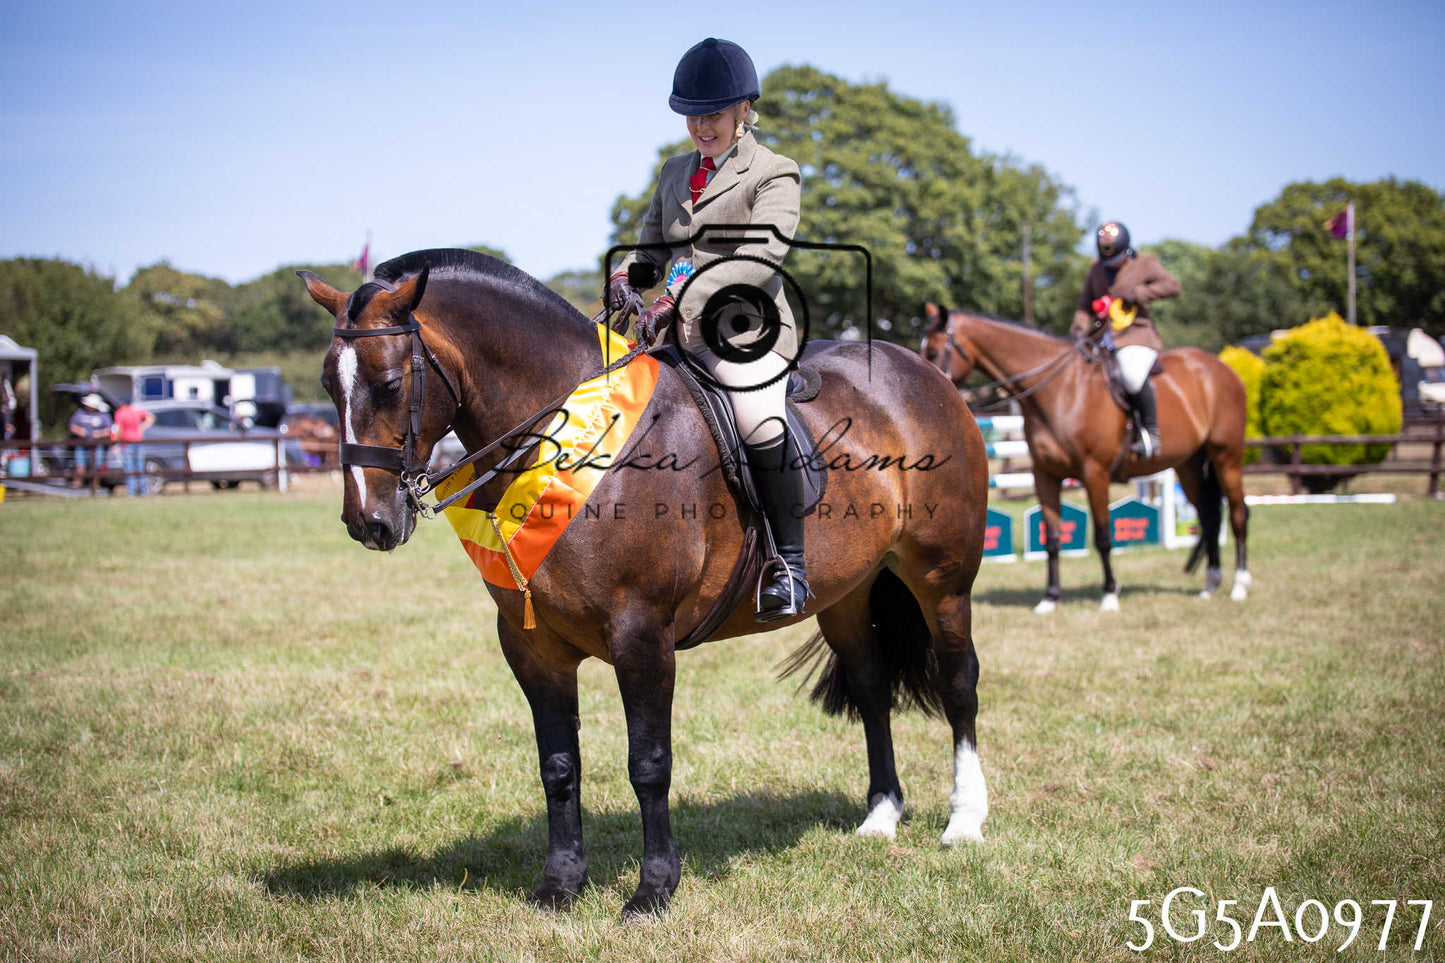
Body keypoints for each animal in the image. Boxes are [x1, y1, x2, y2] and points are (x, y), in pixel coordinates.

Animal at [298, 249, 991, 920]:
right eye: (330, 385)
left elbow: (648, 764)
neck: (575, 439)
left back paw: (964, 821)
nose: (369, 522)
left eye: (390, 384)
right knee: (872, 686)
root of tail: (922, 373)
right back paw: (881, 816)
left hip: (942, 581)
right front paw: (560, 885)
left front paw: (654, 889)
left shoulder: (642, 637)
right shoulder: (532, 649)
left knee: (958, 683)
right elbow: (558, 766)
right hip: (846, 593)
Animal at [919, 304, 1251, 613]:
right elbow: (1052, 539)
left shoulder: (1095, 473)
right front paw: (1049, 598)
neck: (1061, 390)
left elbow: (1103, 537)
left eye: (933, 351)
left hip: (1226, 456)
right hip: (1189, 464)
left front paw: (1110, 595)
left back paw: (1239, 585)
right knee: (1208, 516)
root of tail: (1220, 367)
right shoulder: (1045, 475)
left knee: (1237, 513)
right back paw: (1210, 583)